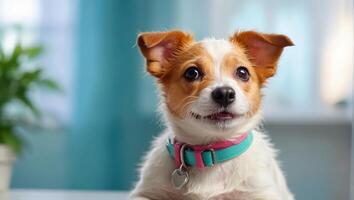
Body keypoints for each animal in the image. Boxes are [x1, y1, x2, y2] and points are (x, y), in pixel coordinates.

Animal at [131, 29, 294, 200]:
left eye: (243, 72)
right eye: (192, 73)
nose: (224, 93)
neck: (212, 155)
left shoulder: (262, 192)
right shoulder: (146, 192)